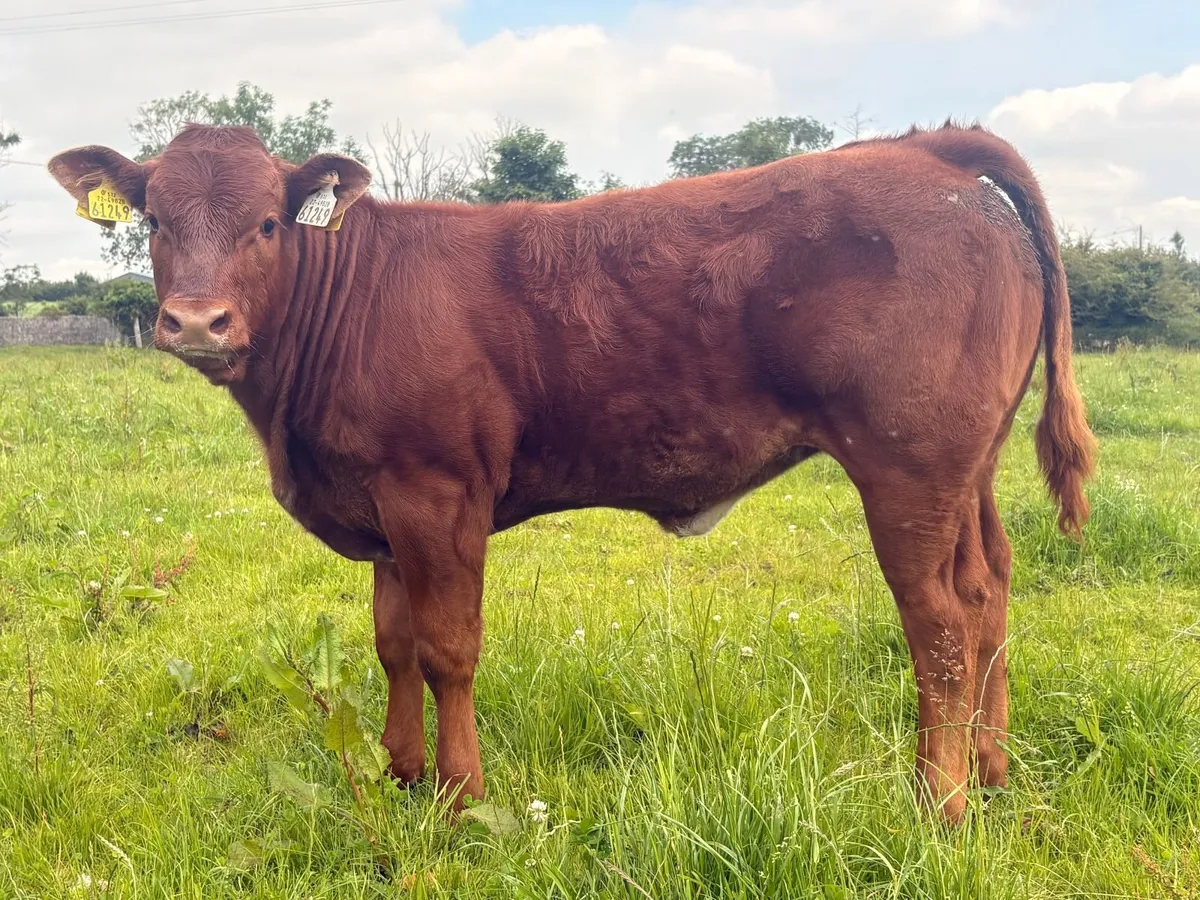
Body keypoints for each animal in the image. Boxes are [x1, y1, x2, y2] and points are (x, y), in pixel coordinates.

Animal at [49, 121, 1095, 822]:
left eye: (268, 223)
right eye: (152, 218)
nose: (195, 321)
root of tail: (930, 153)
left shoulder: (437, 493)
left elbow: (447, 648)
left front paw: (462, 797)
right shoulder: (380, 501)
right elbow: (391, 643)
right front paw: (399, 775)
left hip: (908, 464)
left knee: (940, 622)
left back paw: (938, 802)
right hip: (970, 468)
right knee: (989, 589)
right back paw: (993, 773)